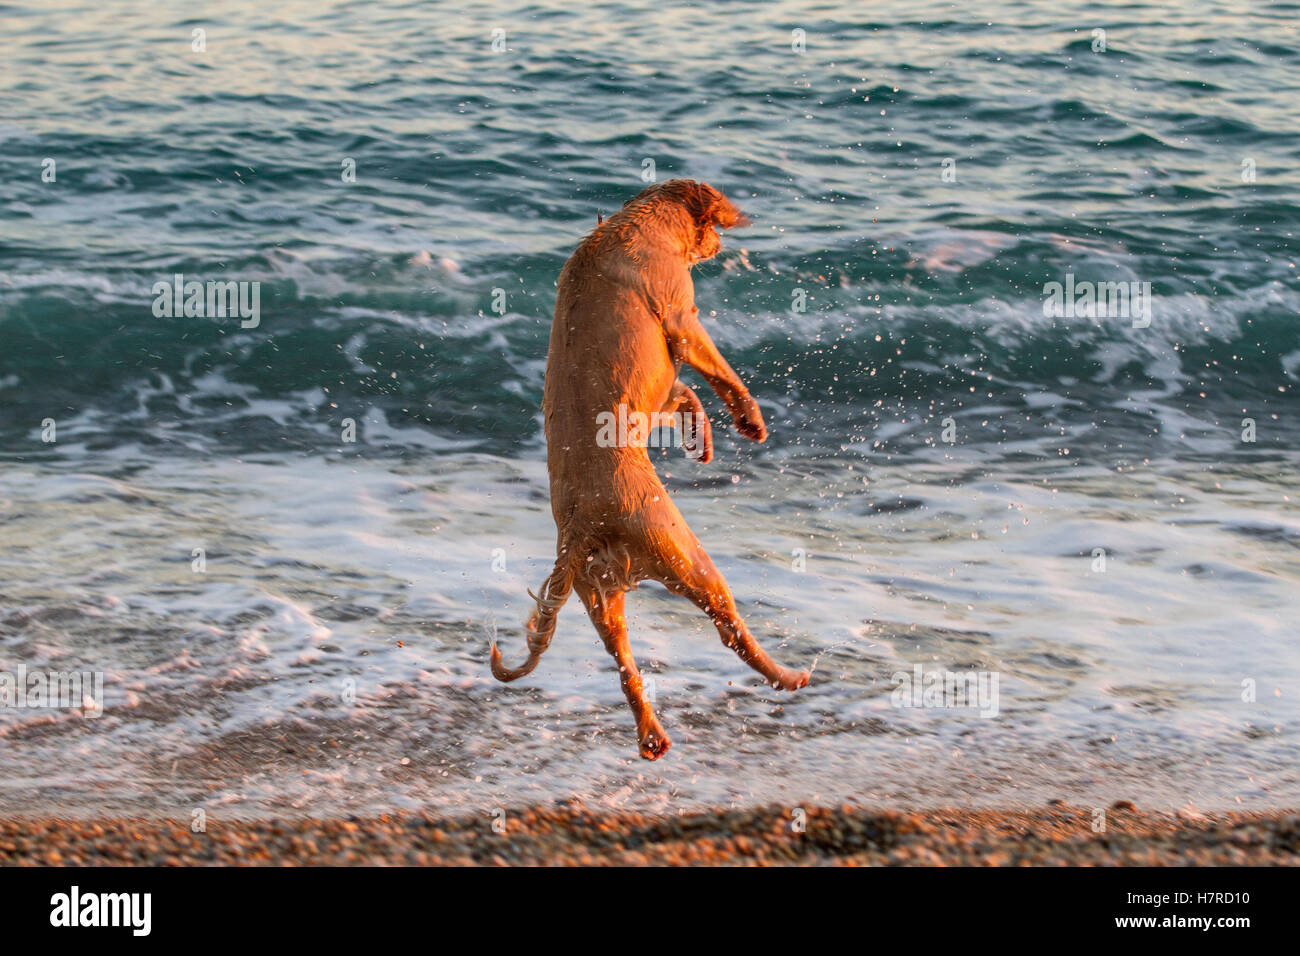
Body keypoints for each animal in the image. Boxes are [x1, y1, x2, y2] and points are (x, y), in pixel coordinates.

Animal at [488, 180, 806, 764]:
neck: (639, 224)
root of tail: (578, 527)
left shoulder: (661, 381)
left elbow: (684, 393)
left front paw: (701, 436)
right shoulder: (681, 318)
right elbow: (717, 372)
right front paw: (749, 418)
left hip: (599, 595)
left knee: (625, 668)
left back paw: (652, 734)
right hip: (684, 553)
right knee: (729, 626)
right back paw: (787, 676)